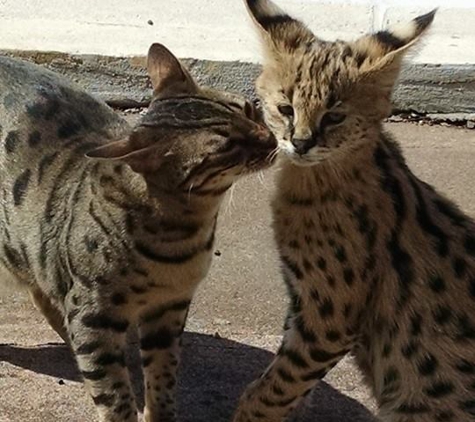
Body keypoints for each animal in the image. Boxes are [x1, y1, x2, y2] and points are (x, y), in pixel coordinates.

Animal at [0, 41, 276, 420]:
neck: (183, 231)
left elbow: (162, 375)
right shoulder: (93, 315)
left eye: (249, 109)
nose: (272, 139)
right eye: (227, 146)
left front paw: (159, 412)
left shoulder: (169, 308)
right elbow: (113, 394)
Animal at [235, 0, 475, 422]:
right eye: (285, 108)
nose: (301, 143)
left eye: (335, 116)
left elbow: (273, 389)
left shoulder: (328, 317)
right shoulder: (301, 305)